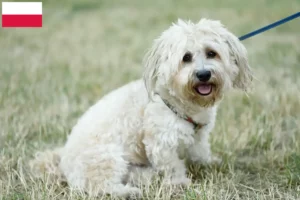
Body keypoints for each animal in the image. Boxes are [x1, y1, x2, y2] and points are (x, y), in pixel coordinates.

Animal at [29, 18, 251, 197]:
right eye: (186, 57)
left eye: (212, 53)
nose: (203, 74)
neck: (179, 102)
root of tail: (63, 162)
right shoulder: (161, 143)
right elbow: (172, 166)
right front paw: (179, 183)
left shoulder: (199, 135)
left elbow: (200, 152)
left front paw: (209, 162)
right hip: (107, 158)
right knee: (99, 186)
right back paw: (127, 192)